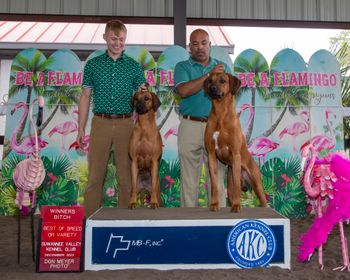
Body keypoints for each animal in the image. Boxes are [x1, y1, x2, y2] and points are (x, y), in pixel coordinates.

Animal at [204, 72, 266, 212]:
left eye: (222, 80)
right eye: (210, 81)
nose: (212, 88)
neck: (220, 115)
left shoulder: (236, 153)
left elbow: (237, 185)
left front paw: (237, 206)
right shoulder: (211, 154)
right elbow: (214, 183)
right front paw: (214, 204)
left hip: (255, 181)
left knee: (264, 201)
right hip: (230, 181)